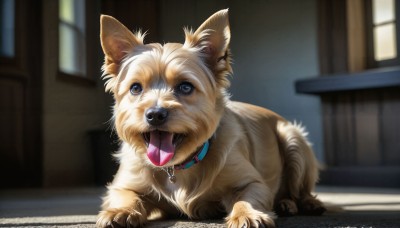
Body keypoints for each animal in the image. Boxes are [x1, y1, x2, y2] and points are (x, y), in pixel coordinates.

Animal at [97, 9, 324, 228]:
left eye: (185, 87)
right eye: (135, 88)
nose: (155, 114)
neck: (177, 167)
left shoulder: (253, 182)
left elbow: (245, 198)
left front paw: (247, 214)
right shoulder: (123, 186)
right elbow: (125, 196)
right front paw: (120, 212)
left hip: (294, 140)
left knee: (300, 190)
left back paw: (301, 203)